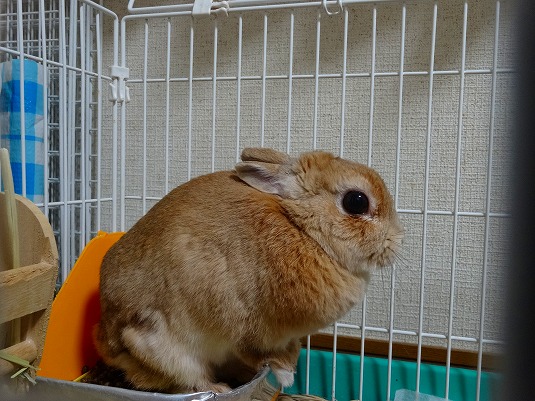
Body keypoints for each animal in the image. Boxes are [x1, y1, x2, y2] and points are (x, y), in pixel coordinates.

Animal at [93, 148, 403, 394]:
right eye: (356, 201)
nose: (396, 241)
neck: (301, 229)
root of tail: (107, 339)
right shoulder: (247, 326)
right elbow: (253, 351)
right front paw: (285, 373)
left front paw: (291, 362)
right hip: (161, 343)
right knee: (186, 374)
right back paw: (218, 388)